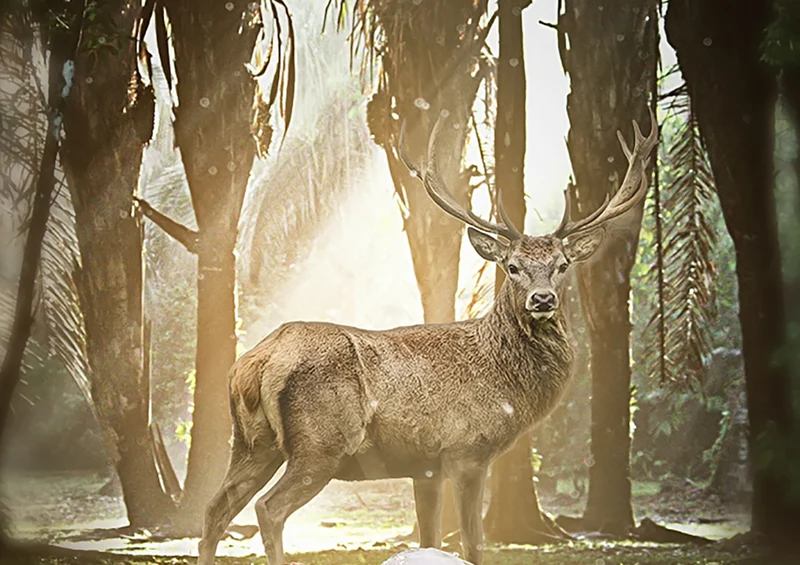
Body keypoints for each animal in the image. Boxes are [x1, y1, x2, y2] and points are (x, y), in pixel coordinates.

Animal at [196, 107, 657, 565]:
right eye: (512, 266)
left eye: (562, 265)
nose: (542, 299)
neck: (507, 388)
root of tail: (255, 362)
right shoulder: (467, 450)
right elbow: (473, 543)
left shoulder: (425, 466)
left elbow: (430, 538)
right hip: (320, 443)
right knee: (268, 509)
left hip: (252, 442)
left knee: (215, 508)